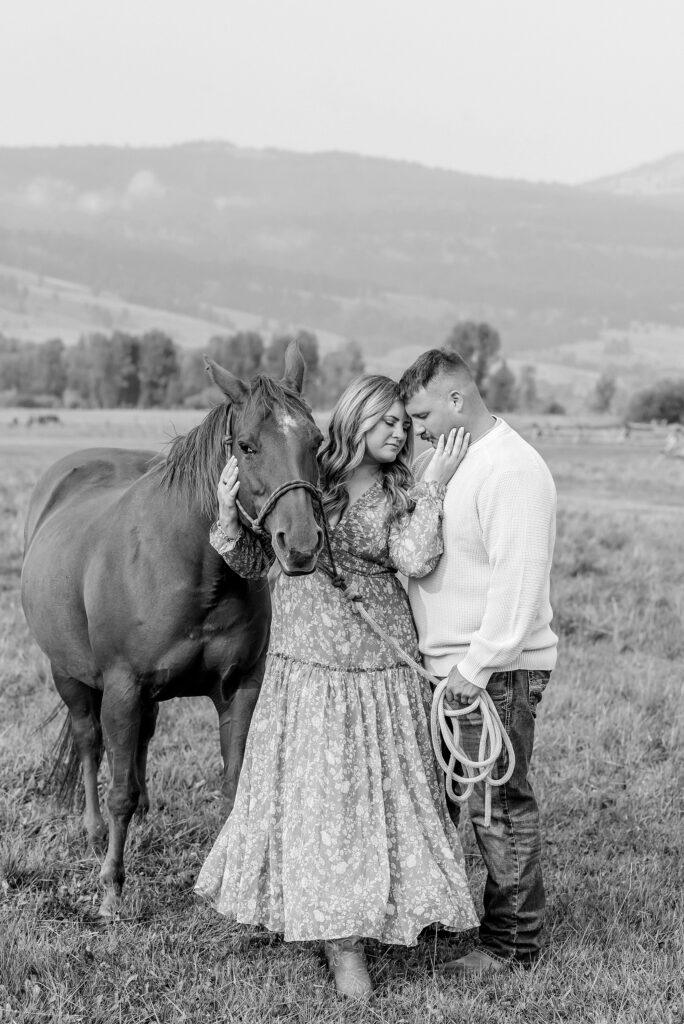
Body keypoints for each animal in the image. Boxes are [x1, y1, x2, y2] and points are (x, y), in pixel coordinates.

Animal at [21, 343, 324, 918]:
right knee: (90, 743)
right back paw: (95, 831)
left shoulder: (239, 688)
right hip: (69, 674)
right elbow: (116, 787)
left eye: (316, 442)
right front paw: (111, 890)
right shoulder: (121, 687)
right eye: (247, 446)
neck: (194, 566)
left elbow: (232, 784)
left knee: (140, 740)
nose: (299, 545)